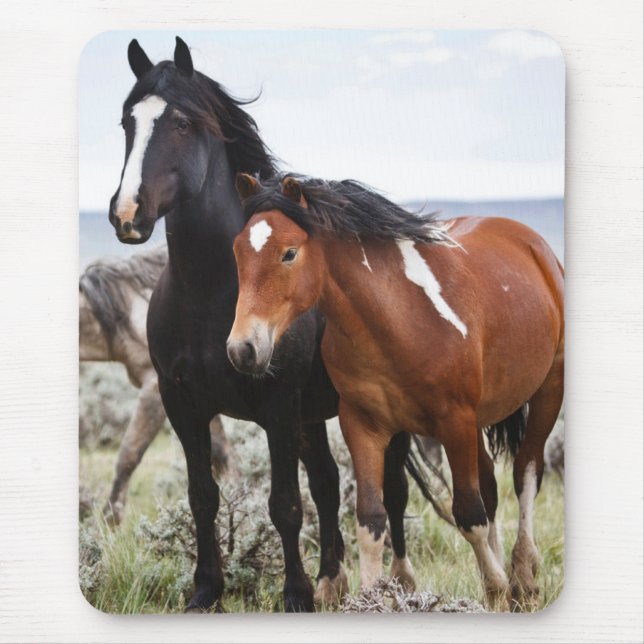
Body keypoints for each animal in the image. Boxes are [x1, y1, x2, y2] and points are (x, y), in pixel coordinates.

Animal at [106, 37, 431, 611]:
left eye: (182, 123)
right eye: (127, 122)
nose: (127, 214)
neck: (213, 295)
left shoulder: (278, 405)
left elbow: (284, 504)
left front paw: (295, 595)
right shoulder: (182, 403)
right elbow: (203, 496)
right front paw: (206, 591)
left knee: (391, 489)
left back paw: (398, 582)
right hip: (314, 416)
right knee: (327, 482)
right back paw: (332, 580)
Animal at [227, 174, 565, 611]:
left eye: (288, 253)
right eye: (237, 251)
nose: (243, 349)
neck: (399, 319)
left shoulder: (454, 422)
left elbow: (468, 513)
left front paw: (497, 589)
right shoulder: (363, 426)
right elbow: (371, 519)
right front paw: (369, 598)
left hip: (547, 393)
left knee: (525, 474)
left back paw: (523, 577)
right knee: (491, 487)